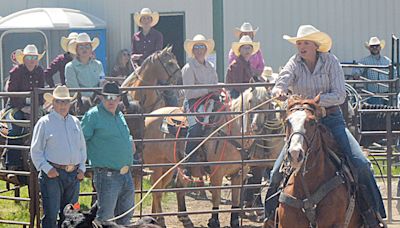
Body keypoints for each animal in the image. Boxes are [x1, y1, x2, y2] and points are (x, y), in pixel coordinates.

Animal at [141, 86, 276, 227]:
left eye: (268, 102)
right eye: (250, 101)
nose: (256, 126)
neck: (231, 131)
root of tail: (149, 117)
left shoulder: (239, 174)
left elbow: (236, 198)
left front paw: (234, 222)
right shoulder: (217, 173)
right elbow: (216, 196)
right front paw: (214, 221)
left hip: (168, 166)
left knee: (165, 188)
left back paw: (168, 218)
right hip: (157, 165)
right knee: (157, 191)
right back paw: (161, 220)